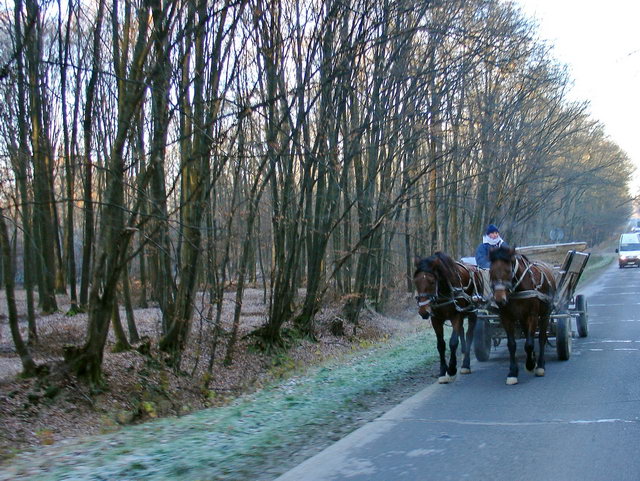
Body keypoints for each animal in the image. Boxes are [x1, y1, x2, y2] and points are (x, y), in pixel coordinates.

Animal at [412, 251, 482, 382]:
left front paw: (452, 369)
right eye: (416, 281)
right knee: (462, 332)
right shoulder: (436, 320)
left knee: (469, 334)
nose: (423, 311)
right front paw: (442, 372)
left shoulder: (456, 316)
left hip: (472, 312)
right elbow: (441, 345)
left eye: (432, 281)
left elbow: (453, 342)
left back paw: (465, 364)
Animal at [490, 246, 556, 384]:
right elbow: (512, 344)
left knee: (541, 338)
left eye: (508, 270)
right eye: (491, 271)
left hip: (545, 314)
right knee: (527, 335)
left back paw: (540, 365)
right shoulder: (506, 318)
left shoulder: (532, 316)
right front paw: (512, 372)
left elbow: (530, 344)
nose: (499, 299)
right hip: (522, 318)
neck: (517, 289)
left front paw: (530, 365)